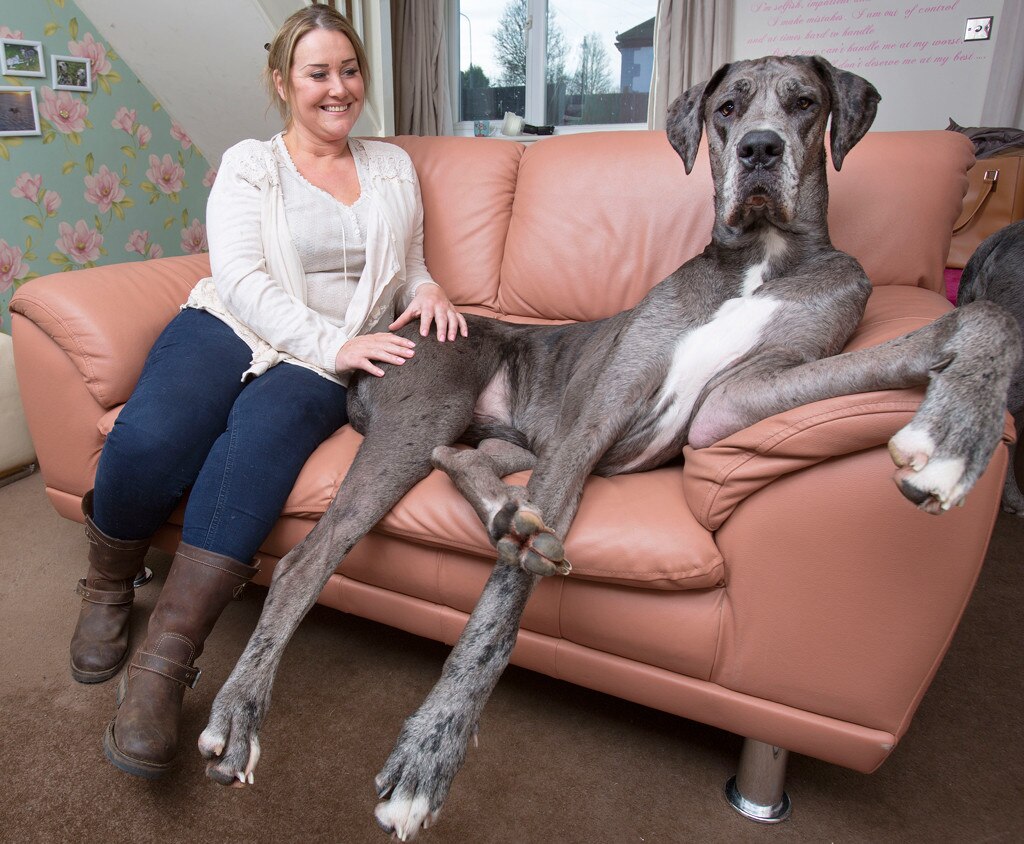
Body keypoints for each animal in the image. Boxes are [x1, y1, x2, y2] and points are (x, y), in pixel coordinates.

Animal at [192, 56, 1015, 839]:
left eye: (804, 103)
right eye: (727, 108)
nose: (760, 148)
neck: (760, 259)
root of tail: (381, 338)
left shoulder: (738, 400)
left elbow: (982, 316)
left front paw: (955, 434)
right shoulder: (597, 416)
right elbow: (497, 613)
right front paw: (432, 752)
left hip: (508, 437)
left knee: (463, 464)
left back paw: (507, 514)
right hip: (432, 412)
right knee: (305, 561)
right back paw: (240, 715)